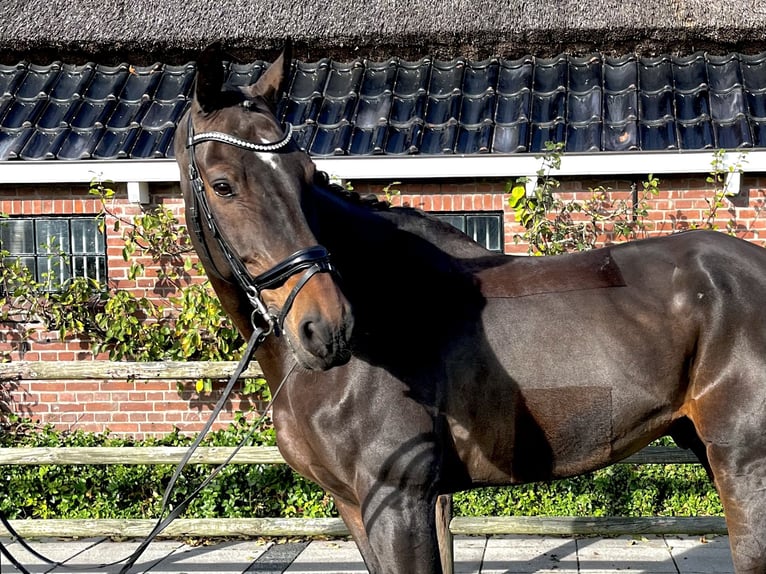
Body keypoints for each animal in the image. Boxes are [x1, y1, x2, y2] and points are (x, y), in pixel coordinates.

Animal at [174, 42, 766, 574]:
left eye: (303, 174)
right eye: (222, 184)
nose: (327, 327)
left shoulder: (400, 500)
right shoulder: (358, 506)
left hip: (743, 462)